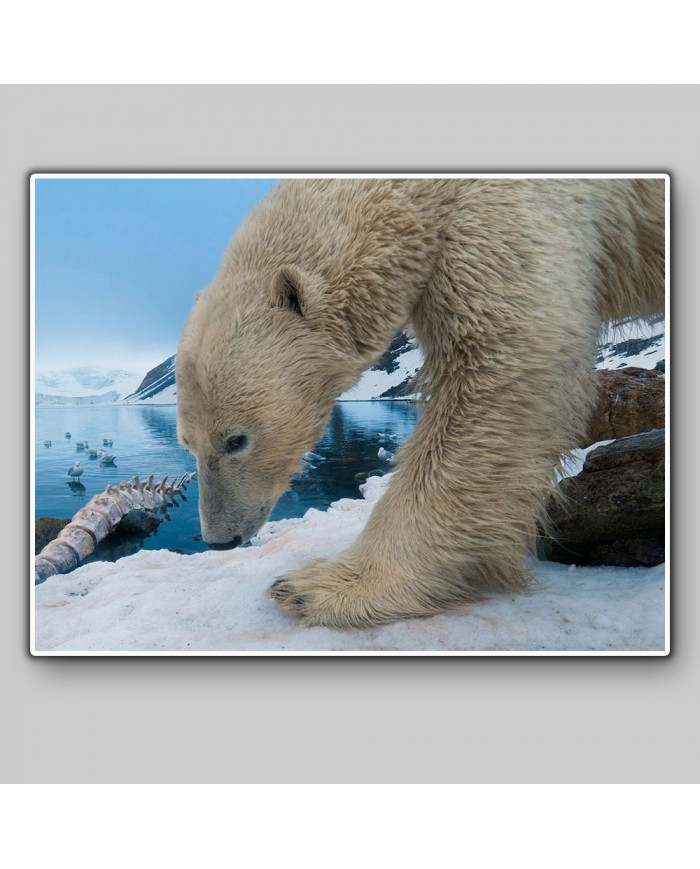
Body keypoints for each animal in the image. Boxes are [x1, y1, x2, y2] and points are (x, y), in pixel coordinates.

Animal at [175, 177, 665, 629]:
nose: (218, 540)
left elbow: (504, 364)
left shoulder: (509, 211)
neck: (420, 191)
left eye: (236, 440)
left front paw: (321, 588)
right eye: (188, 444)